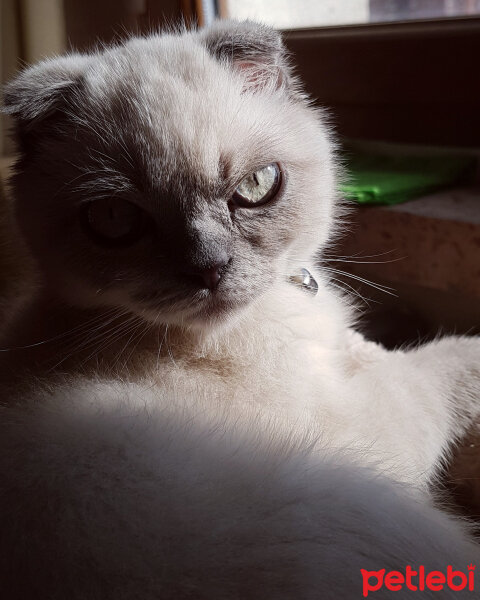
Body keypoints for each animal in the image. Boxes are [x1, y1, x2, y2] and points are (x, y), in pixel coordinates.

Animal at [0, 19, 480, 600]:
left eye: (255, 185)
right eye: (115, 219)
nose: (209, 269)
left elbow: (371, 349)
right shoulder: (367, 427)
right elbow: (430, 367)